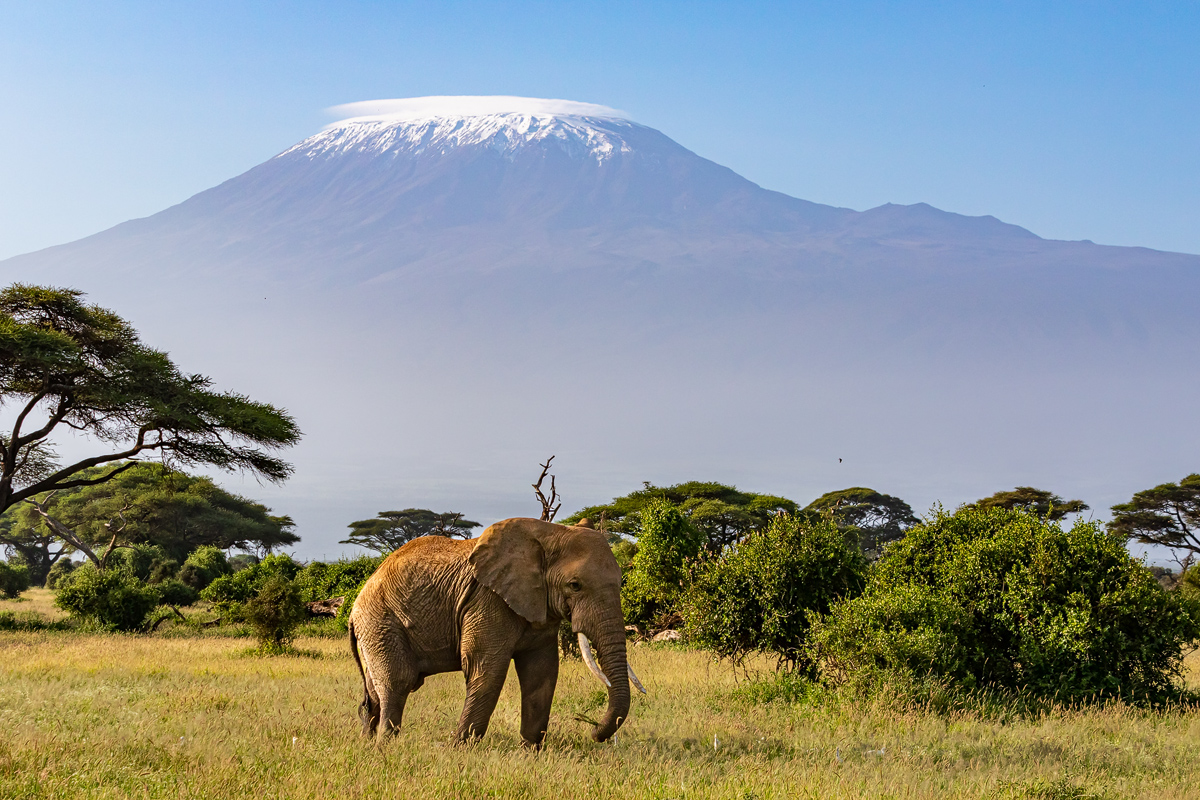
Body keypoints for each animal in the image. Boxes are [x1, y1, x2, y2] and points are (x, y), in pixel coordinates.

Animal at [348, 516, 646, 746]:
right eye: (575, 585)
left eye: (621, 582)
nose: (593, 732)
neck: (549, 533)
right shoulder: (487, 599)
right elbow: (487, 669)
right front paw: (461, 749)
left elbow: (542, 673)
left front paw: (530, 751)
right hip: (381, 622)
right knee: (398, 683)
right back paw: (386, 745)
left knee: (375, 692)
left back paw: (367, 742)